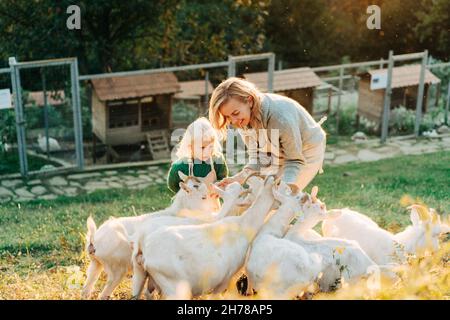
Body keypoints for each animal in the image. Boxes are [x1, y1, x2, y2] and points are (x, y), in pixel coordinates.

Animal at [83, 171, 221, 298]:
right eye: (203, 197)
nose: (216, 208)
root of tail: (94, 240)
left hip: (95, 264)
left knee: (87, 288)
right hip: (116, 270)